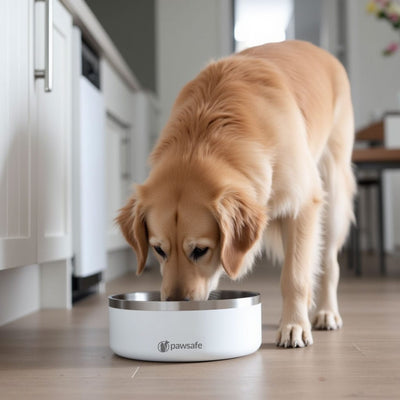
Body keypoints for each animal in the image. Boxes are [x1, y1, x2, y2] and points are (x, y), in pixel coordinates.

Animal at [116, 40, 356, 346]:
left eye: (200, 250)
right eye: (158, 250)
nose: (175, 303)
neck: (205, 131)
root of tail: (317, 50)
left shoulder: (302, 205)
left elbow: (295, 276)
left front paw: (294, 326)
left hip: (333, 192)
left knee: (329, 264)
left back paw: (326, 312)